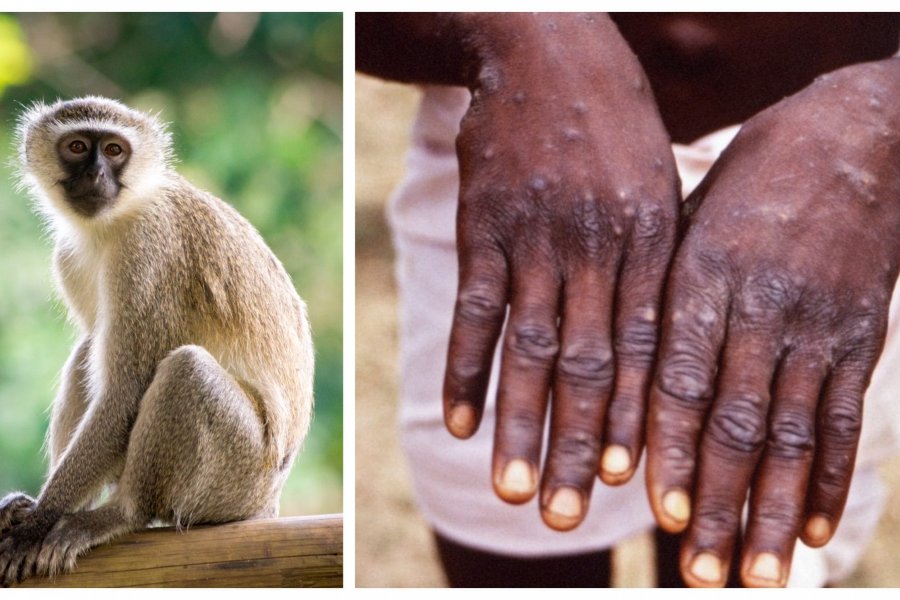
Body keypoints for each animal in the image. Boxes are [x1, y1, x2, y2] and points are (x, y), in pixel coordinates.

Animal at [0, 97, 316, 584]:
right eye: (77, 147)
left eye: (114, 150)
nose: (96, 174)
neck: (116, 219)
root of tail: (267, 504)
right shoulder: (68, 257)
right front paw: (34, 511)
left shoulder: (147, 251)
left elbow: (125, 393)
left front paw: (36, 525)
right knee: (90, 350)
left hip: (238, 476)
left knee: (186, 370)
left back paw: (121, 514)